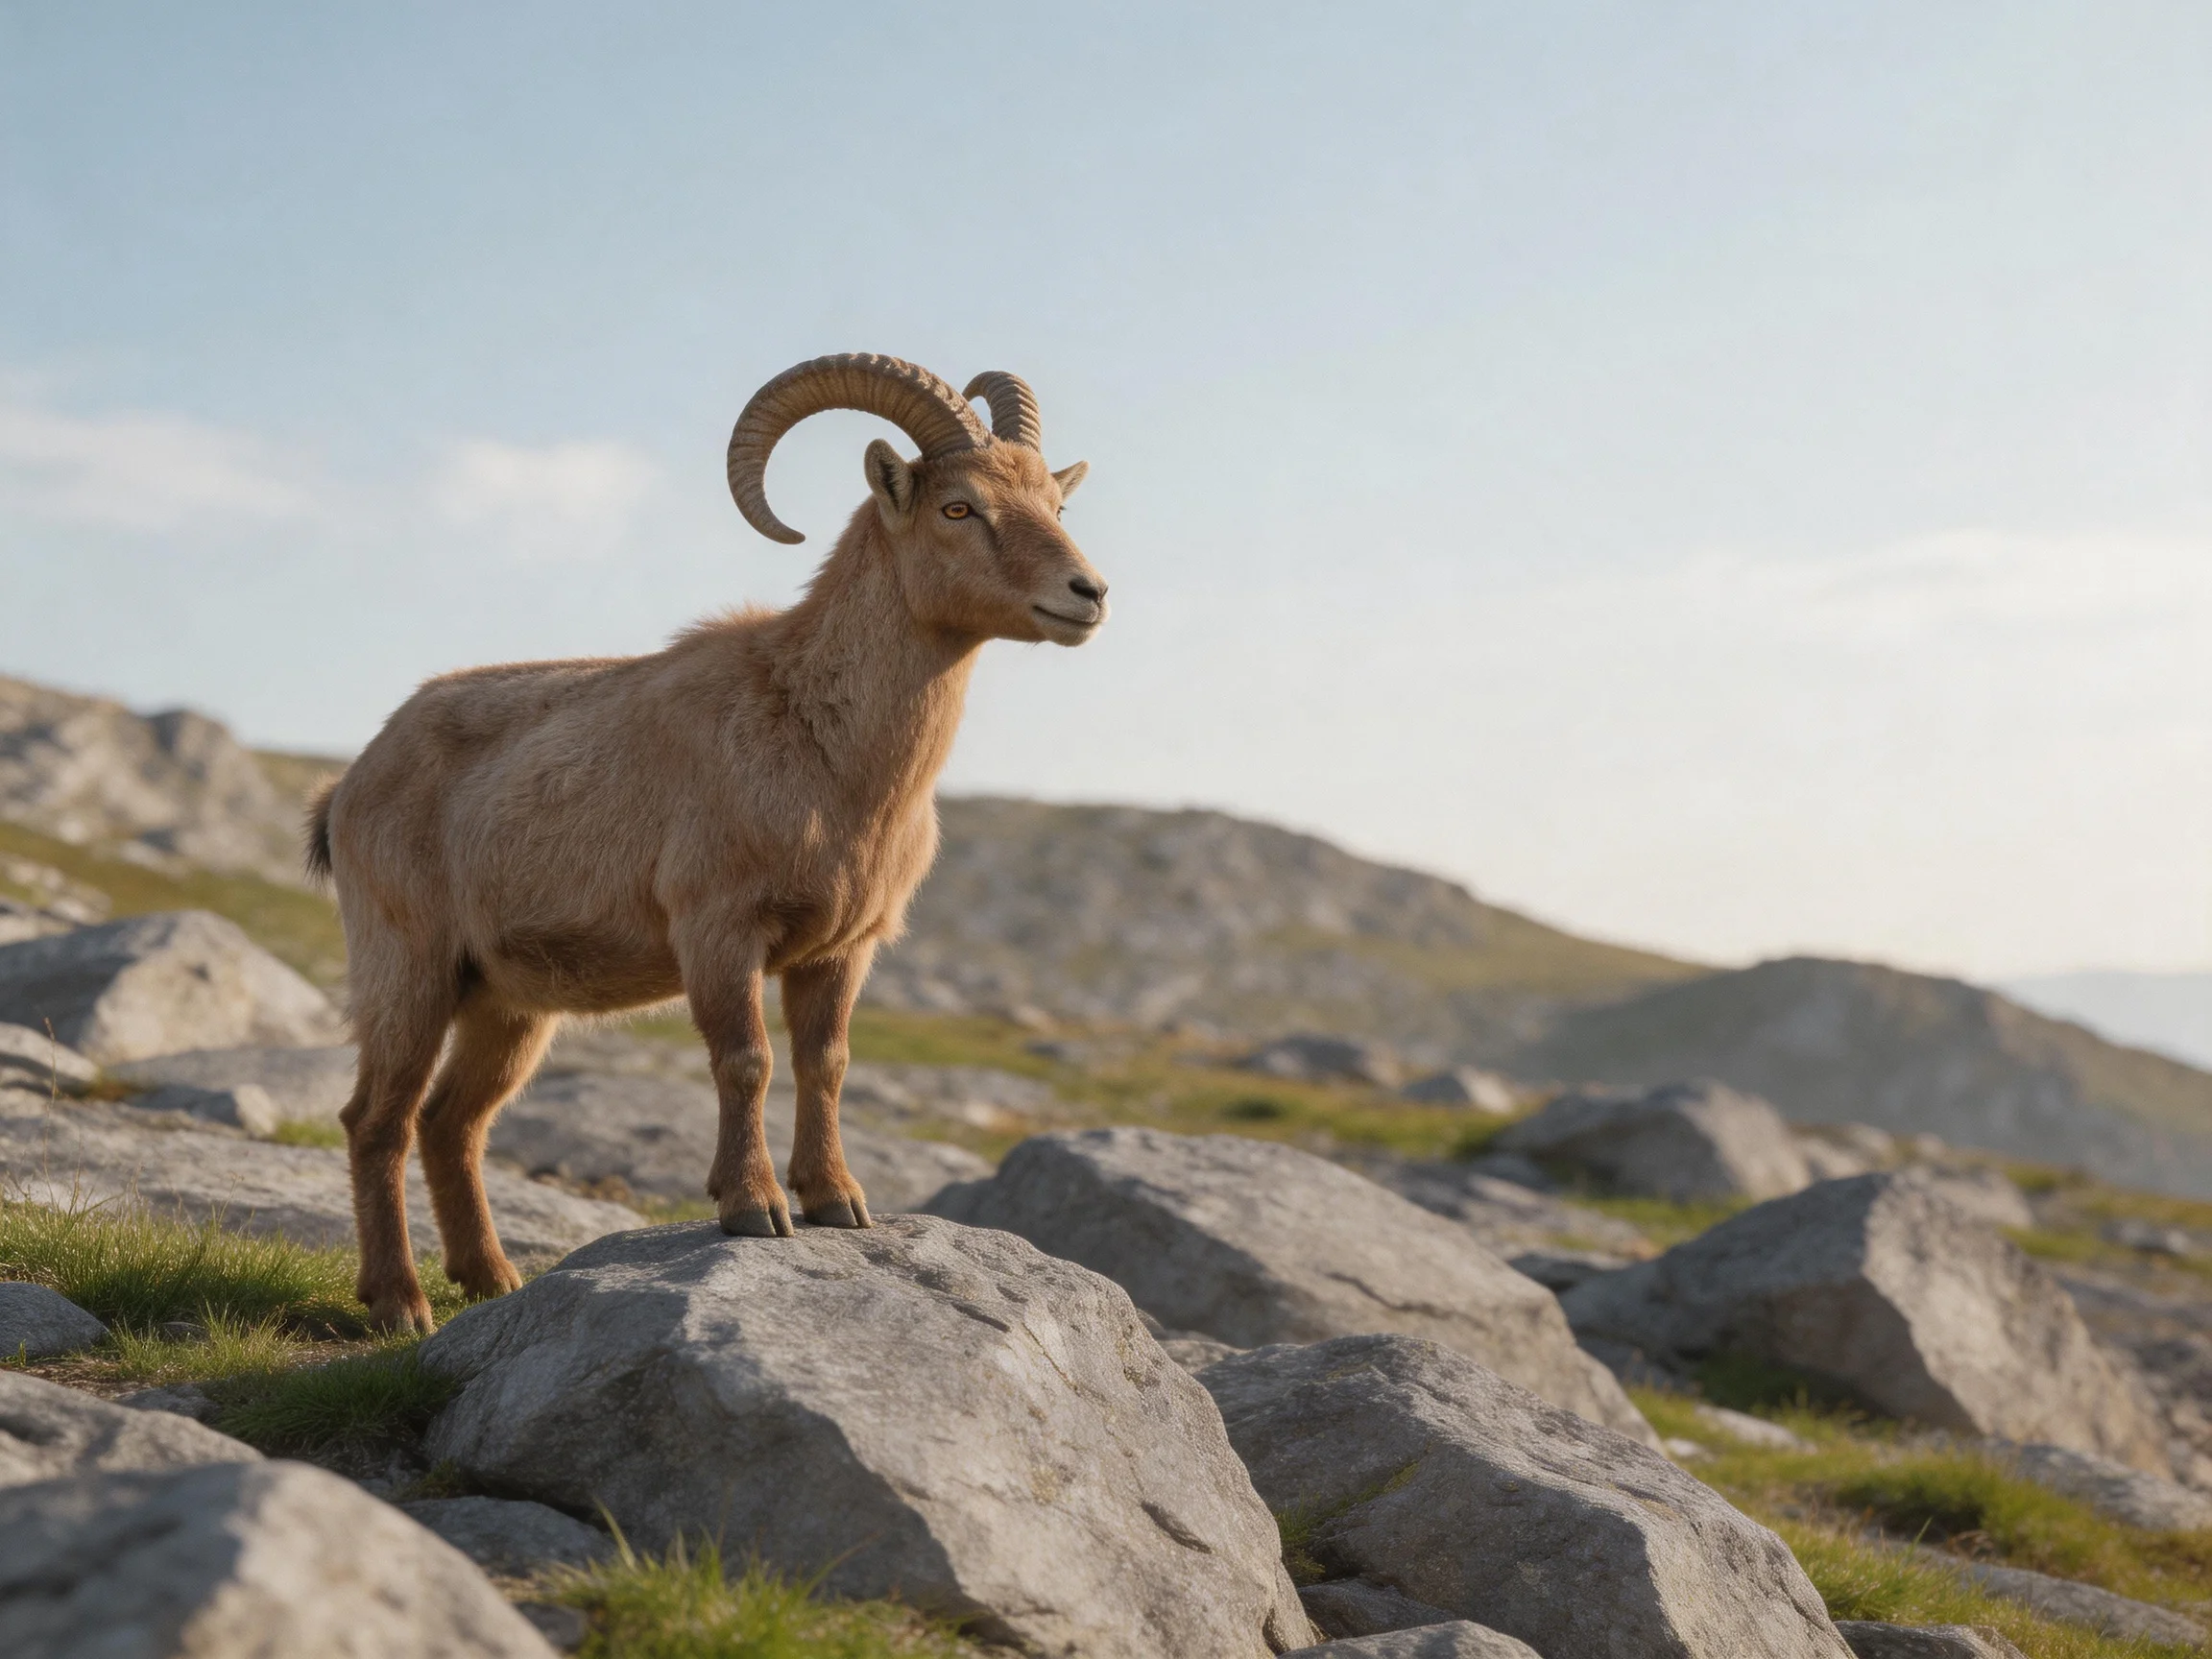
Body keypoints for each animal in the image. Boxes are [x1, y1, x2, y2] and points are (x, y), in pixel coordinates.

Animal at [310, 354, 1107, 1331]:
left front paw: (837, 1201)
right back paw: (400, 1303)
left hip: (506, 1002)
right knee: (375, 1120)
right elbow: (746, 1061)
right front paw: (754, 1208)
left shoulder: (842, 949)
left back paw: (492, 1278)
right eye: (959, 508)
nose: (1088, 594)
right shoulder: (718, 927)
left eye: (1057, 504)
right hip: (409, 967)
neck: (820, 740)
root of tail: (350, 785)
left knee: (453, 1121)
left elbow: (826, 1062)